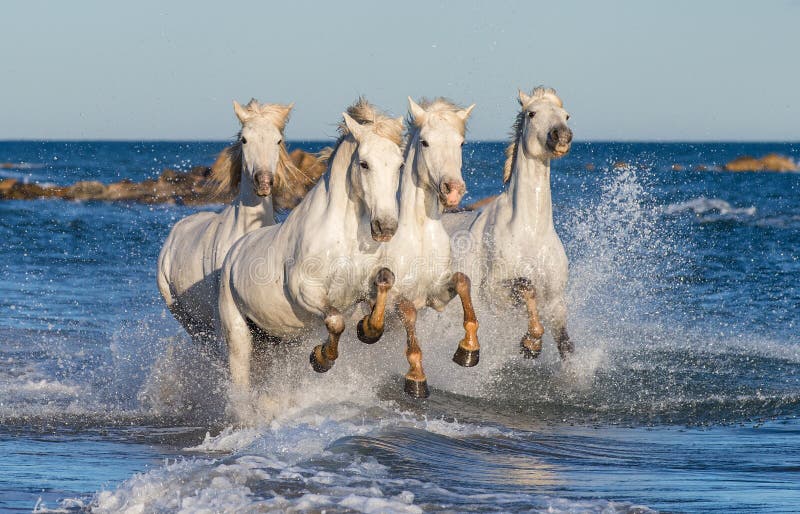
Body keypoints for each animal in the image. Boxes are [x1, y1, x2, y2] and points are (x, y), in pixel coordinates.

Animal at [217, 99, 406, 388]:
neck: (344, 238)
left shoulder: (363, 286)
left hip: (275, 339)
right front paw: (321, 357)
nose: (385, 227)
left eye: (400, 165)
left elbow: (385, 283)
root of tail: (234, 252)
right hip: (238, 335)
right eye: (364, 164)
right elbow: (336, 321)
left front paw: (366, 329)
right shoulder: (305, 289)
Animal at [356, 97, 482, 396]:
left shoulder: (437, 295)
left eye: (461, 142)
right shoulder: (396, 301)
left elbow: (463, 281)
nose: (453, 190)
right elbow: (407, 311)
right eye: (425, 142)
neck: (421, 238)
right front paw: (416, 377)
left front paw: (468, 350)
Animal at [444, 88, 576, 358]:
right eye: (532, 113)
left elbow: (566, 343)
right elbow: (526, 286)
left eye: (566, 115)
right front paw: (531, 342)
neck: (531, 231)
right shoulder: (493, 294)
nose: (562, 137)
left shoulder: (556, 300)